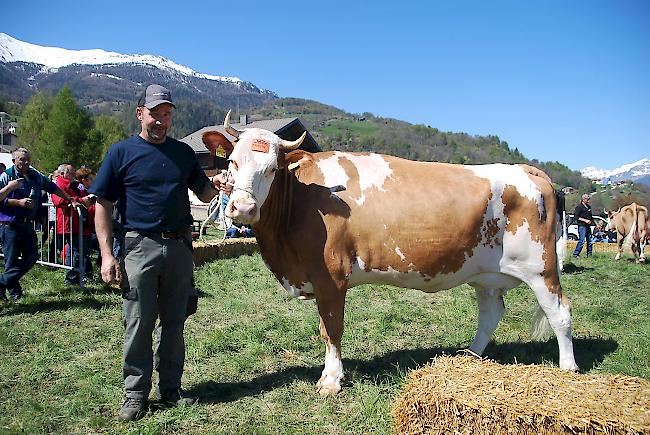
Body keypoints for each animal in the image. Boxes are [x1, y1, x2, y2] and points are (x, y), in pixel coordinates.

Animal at [211, 110, 576, 396]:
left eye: (272, 168)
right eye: (232, 162)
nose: (242, 208)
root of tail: (527, 169)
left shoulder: (331, 275)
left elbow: (331, 328)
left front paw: (331, 380)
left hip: (541, 268)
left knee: (559, 313)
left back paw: (568, 369)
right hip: (486, 273)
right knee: (490, 314)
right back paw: (469, 356)